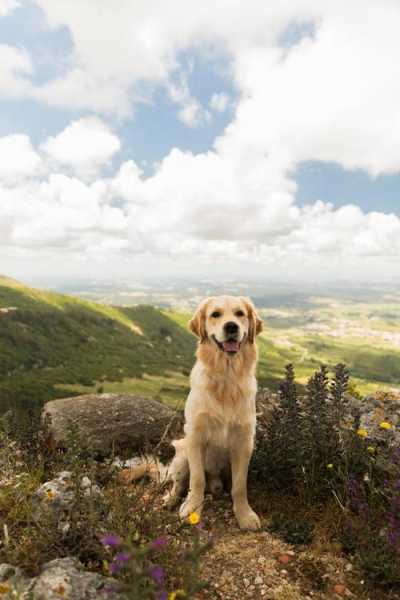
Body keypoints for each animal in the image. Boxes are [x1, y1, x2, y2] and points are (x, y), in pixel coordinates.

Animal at [164, 296, 264, 528]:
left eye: (240, 314)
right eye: (215, 314)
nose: (231, 327)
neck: (226, 377)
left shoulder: (244, 442)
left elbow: (239, 487)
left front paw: (244, 515)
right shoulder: (195, 436)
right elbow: (197, 480)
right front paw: (192, 508)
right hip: (182, 455)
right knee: (179, 483)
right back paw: (171, 500)